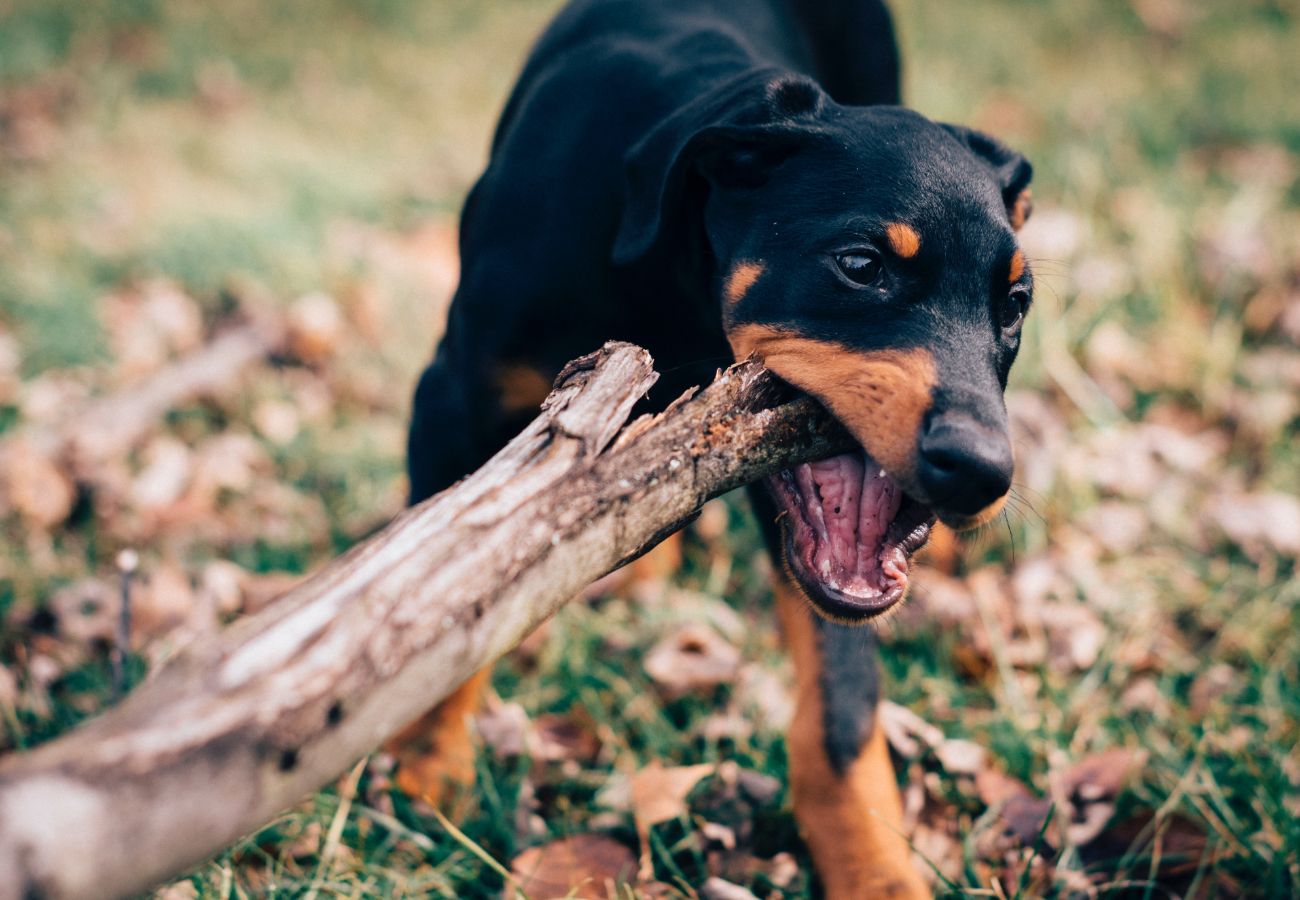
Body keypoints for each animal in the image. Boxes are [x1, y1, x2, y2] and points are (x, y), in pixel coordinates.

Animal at [395, 3, 1034, 894]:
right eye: (860, 264)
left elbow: (841, 708)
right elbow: (445, 606)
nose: (980, 472)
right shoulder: (449, 401)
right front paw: (427, 770)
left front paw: (876, 870)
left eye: (1016, 303)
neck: (668, 277)